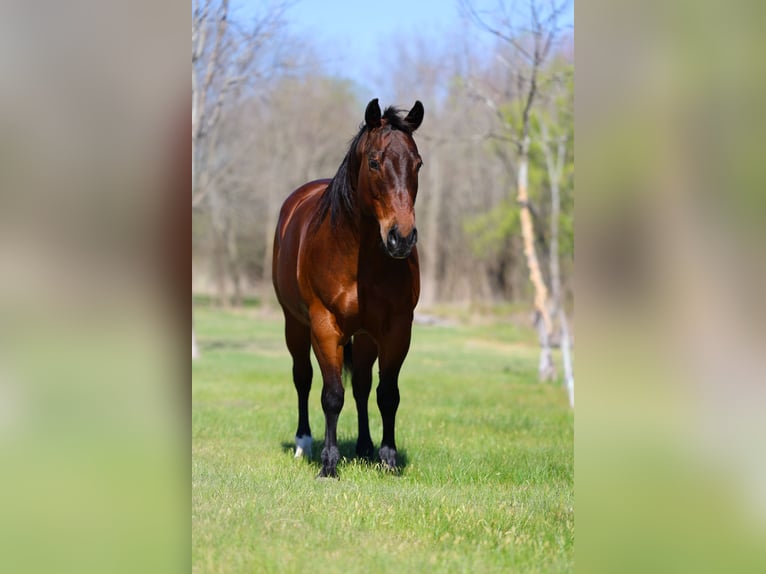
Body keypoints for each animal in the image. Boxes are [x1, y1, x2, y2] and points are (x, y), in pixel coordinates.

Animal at [272, 98, 424, 478]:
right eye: (374, 162)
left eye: (417, 163)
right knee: (303, 377)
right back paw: (304, 443)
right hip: (294, 325)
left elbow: (387, 394)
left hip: (366, 336)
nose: (401, 238)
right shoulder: (325, 327)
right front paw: (329, 464)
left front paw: (388, 458)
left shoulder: (396, 329)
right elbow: (331, 395)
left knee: (362, 386)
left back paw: (365, 447)